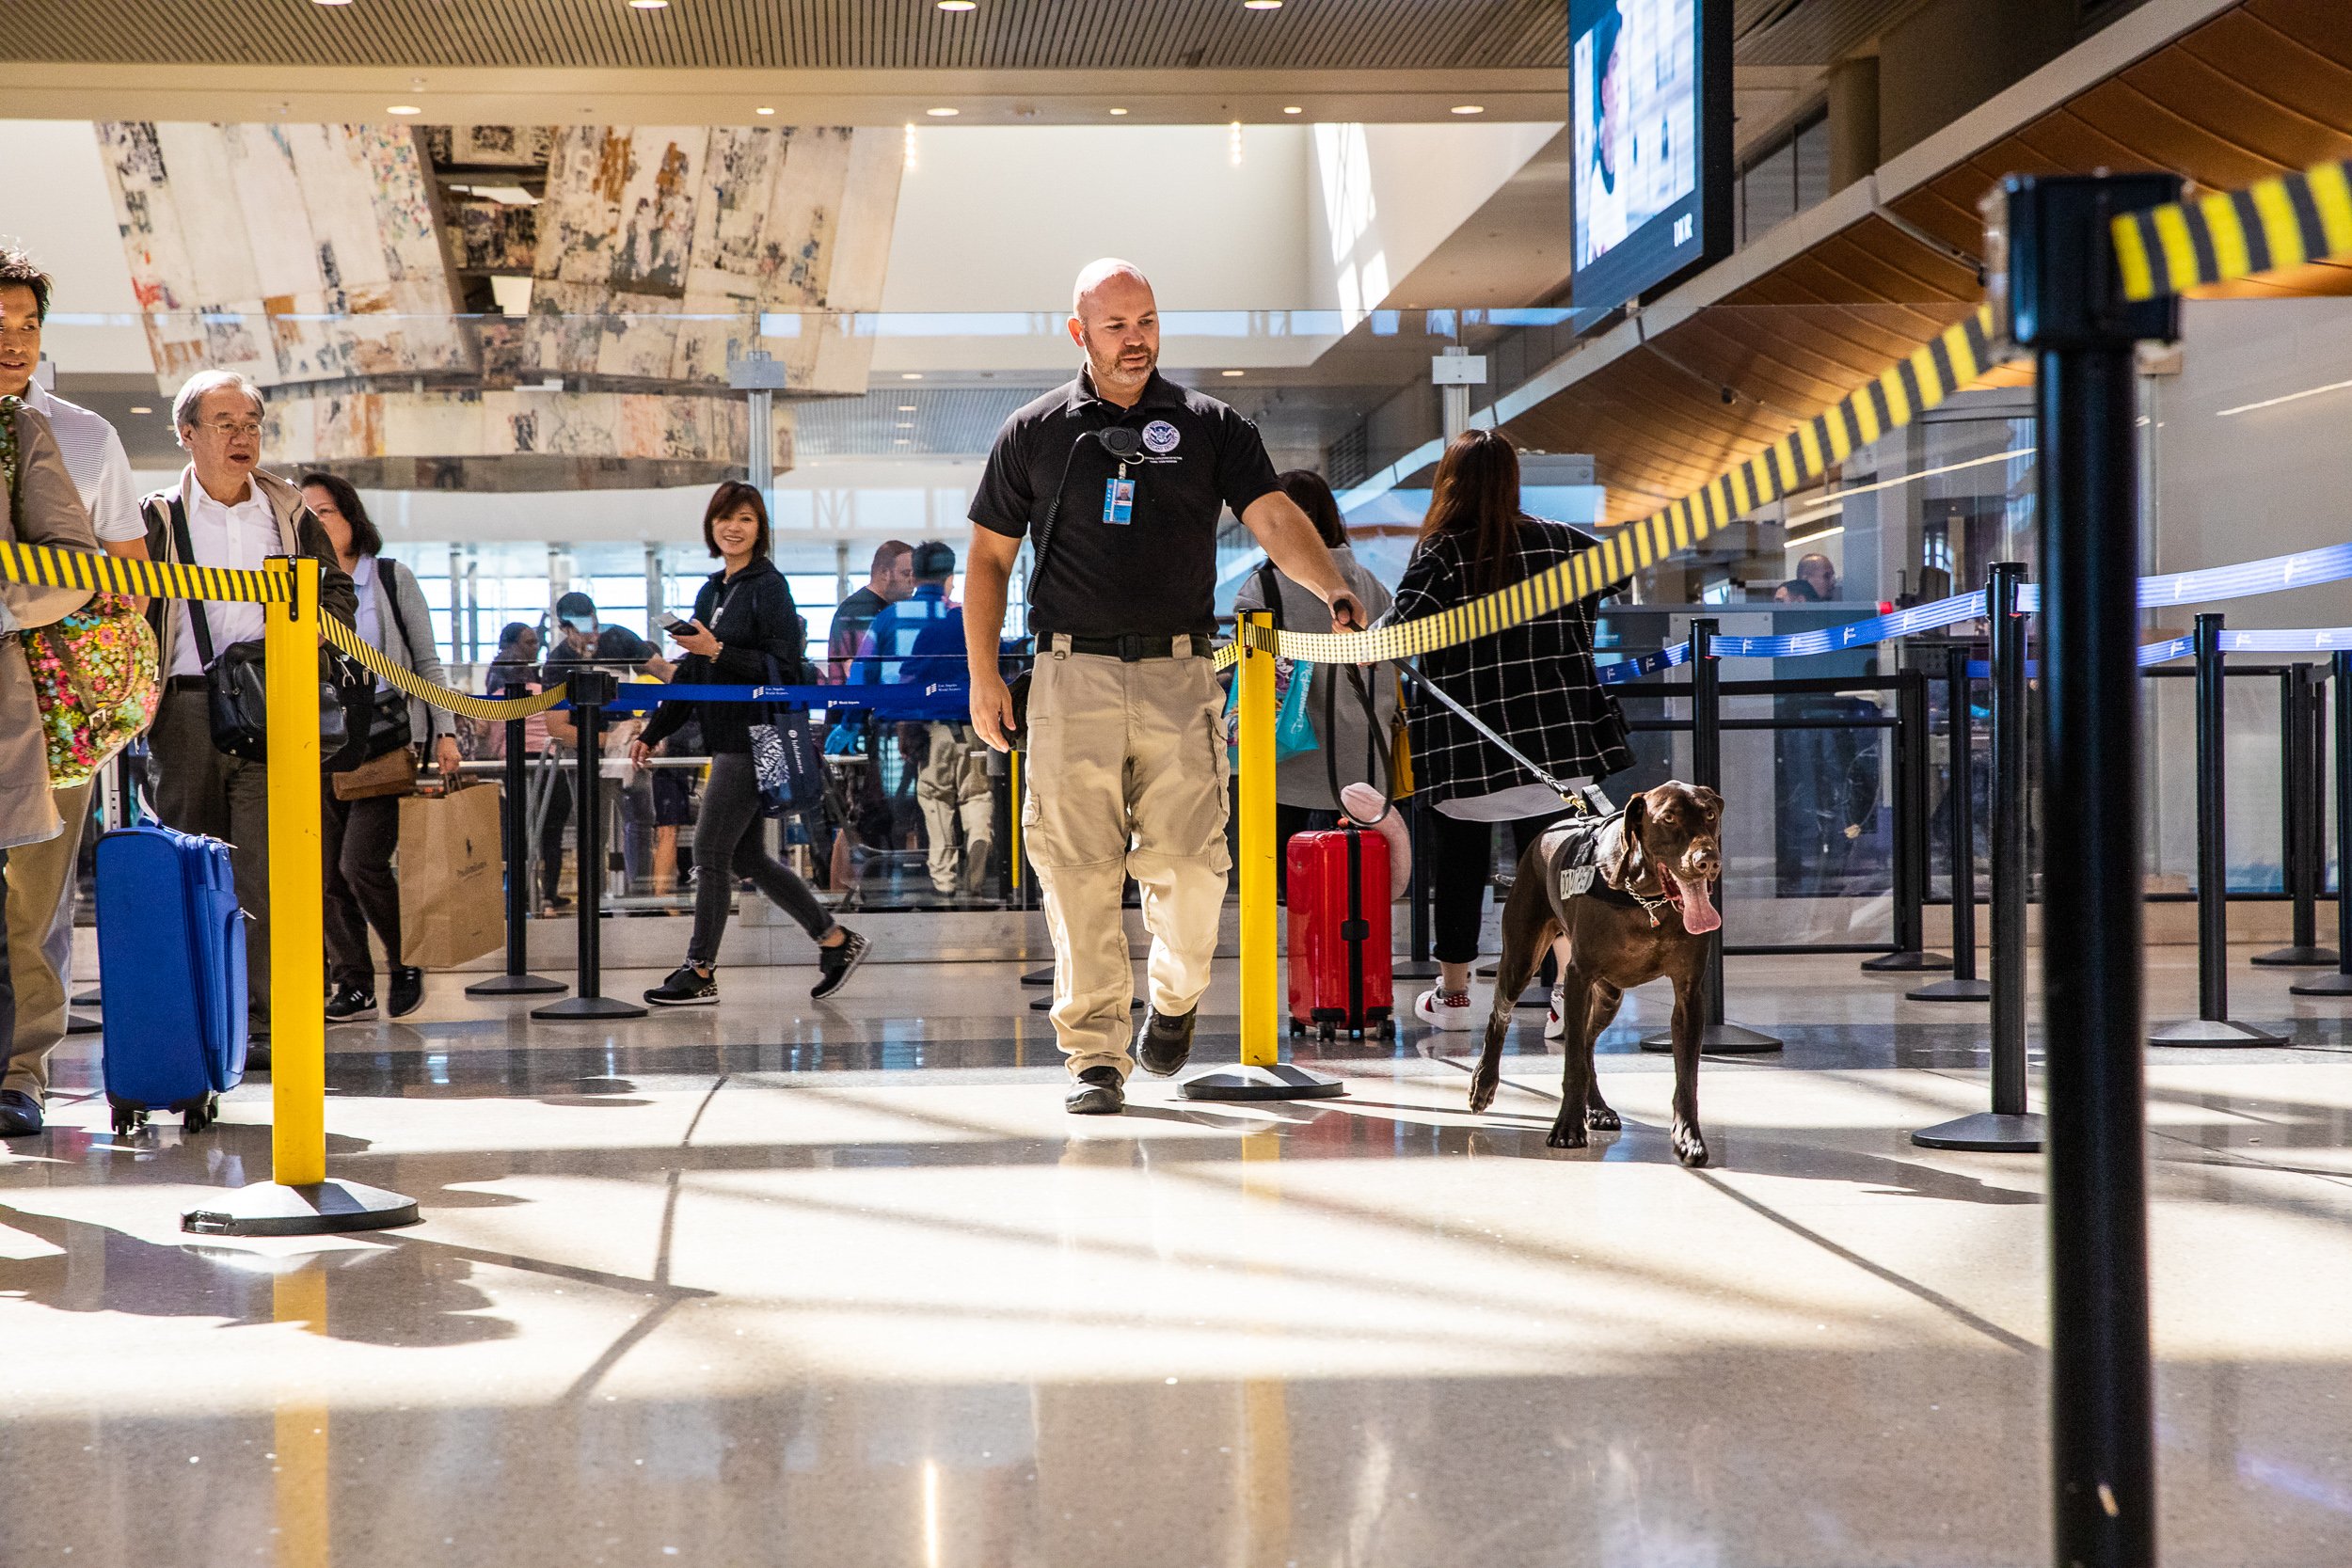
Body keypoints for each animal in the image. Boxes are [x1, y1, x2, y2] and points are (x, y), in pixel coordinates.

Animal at [1468, 784, 1731, 1165]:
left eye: (1710, 814)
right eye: (1668, 817)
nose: (1707, 861)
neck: (1645, 899)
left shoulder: (1689, 993)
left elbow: (1687, 1077)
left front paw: (1688, 1137)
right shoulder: (1578, 977)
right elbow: (1572, 1063)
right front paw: (1567, 1127)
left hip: (1609, 995)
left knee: (1589, 1042)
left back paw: (1597, 1107)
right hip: (1521, 958)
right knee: (1502, 1017)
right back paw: (1484, 1082)